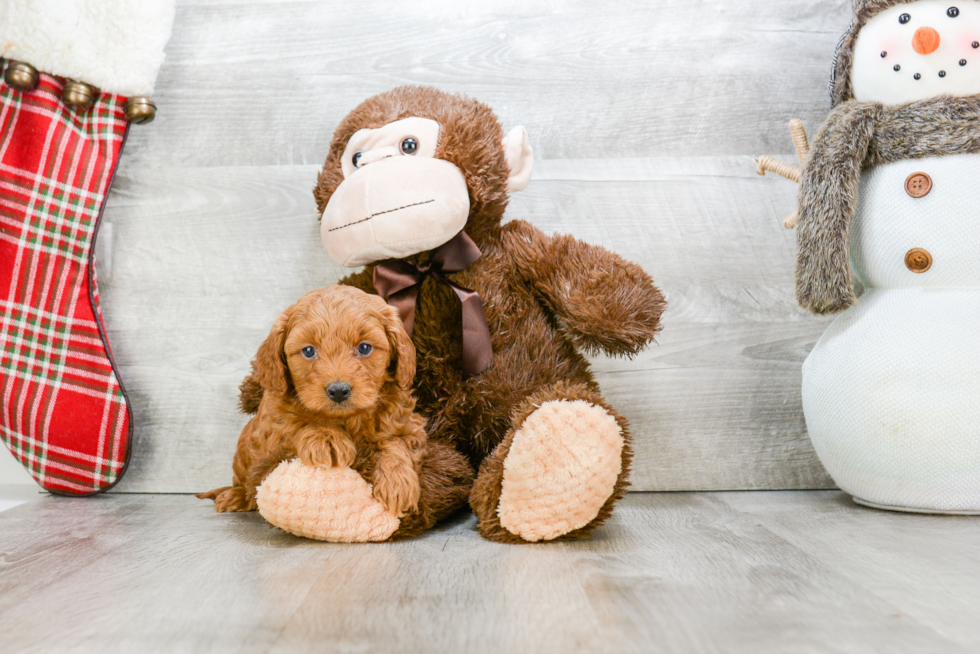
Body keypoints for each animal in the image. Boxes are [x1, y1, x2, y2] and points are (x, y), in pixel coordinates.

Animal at [199, 284, 424, 520]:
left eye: (364, 348)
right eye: (308, 351)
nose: (338, 391)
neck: (345, 419)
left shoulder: (411, 426)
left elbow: (395, 441)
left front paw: (398, 482)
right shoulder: (271, 428)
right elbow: (295, 424)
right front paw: (326, 436)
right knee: (245, 481)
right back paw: (235, 496)